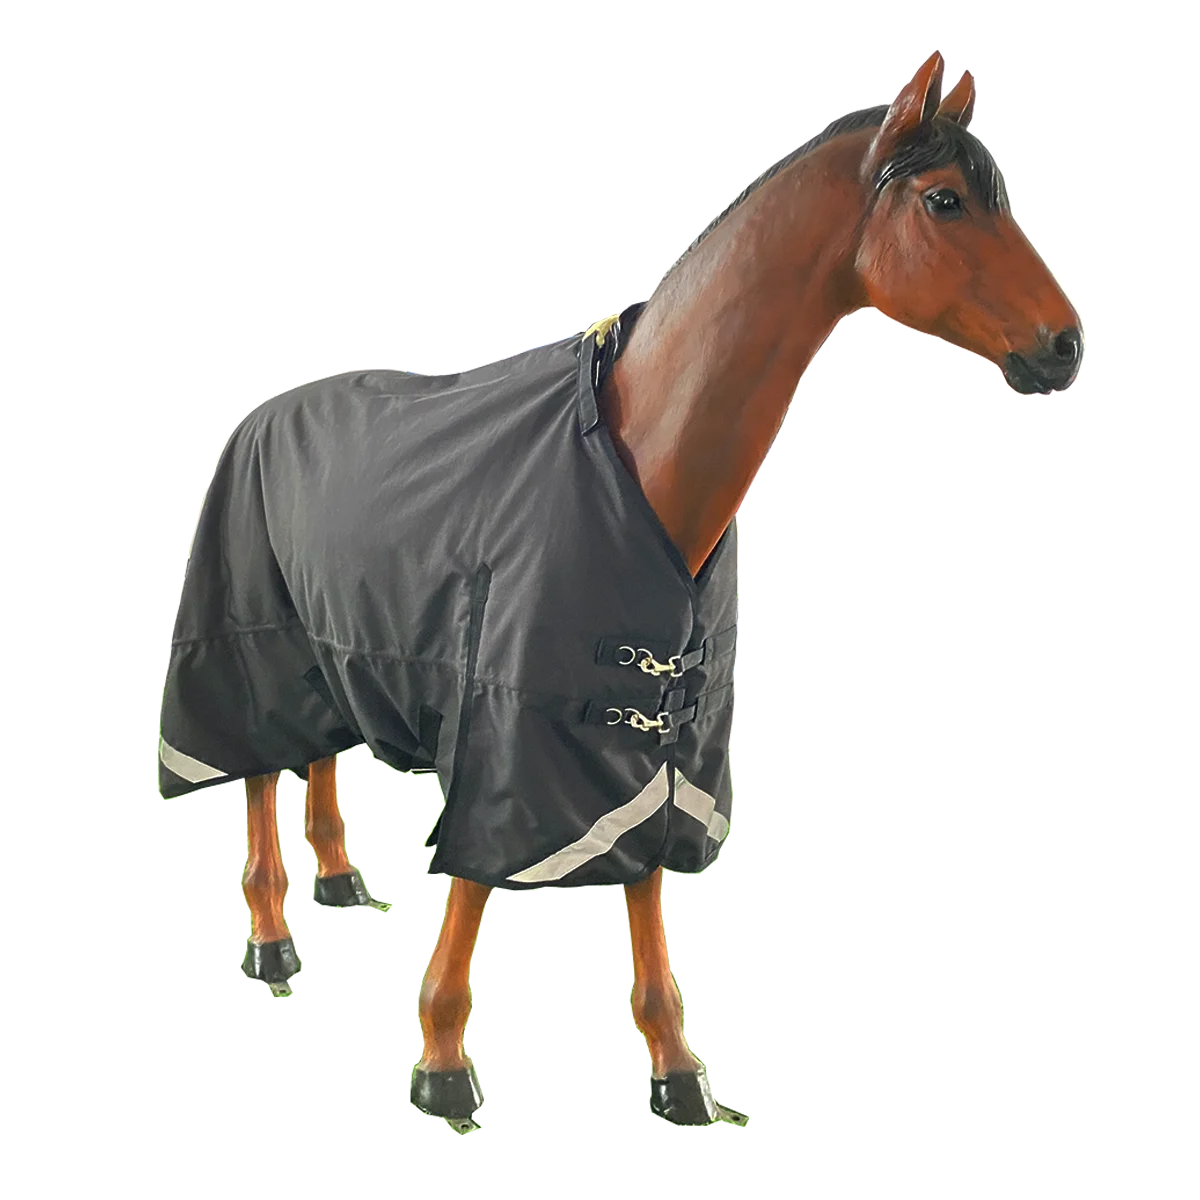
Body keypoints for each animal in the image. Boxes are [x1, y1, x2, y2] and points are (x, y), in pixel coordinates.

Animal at [159, 51, 1083, 1134]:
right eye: (944, 201)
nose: (1066, 345)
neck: (642, 449)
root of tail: (264, 412)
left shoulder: (658, 726)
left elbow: (643, 885)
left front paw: (676, 1068)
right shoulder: (513, 719)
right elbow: (476, 877)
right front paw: (443, 1061)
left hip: (334, 643)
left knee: (315, 754)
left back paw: (340, 884)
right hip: (246, 637)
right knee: (259, 769)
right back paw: (273, 935)